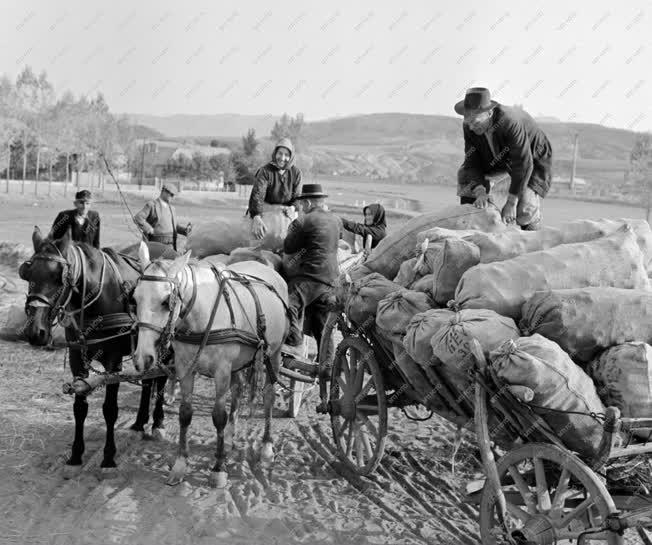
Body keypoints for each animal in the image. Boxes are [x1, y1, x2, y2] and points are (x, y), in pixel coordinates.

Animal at [20, 226, 178, 476]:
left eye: (58, 276)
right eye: (28, 273)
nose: (36, 332)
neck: (98, 296)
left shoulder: (113, 361)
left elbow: (110, 409)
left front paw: (108, 456)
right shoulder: (77, 358)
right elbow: (79, 407)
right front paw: (76, 454)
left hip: (166, 341)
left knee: (161, 378)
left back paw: (158, 422)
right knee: (147, 380)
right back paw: (139, 421)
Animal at [132, 242, 288, 484]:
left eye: (166, 301)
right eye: (134, 298)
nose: (143, 358)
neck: (201, 317)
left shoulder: (221, 370)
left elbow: (219, 416)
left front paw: (219, 468)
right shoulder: (185, 367)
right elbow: (185, 414)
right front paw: (180, 464)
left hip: (274, 354)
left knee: (269, 396)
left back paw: (266, 448)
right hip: (239, 363)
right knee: (238, 389)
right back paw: (231, 438)